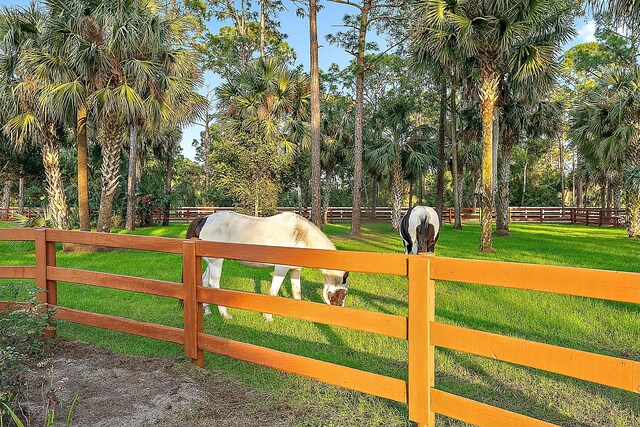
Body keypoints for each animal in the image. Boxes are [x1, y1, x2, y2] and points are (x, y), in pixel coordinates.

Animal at [185, 211, 350, 320]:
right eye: (343, 293)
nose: (340, 314)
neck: (301, 234)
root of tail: (205, 218)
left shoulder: (295, 269)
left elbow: (296, 291)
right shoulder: (281, 268)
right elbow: (273, 291)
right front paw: (268, 317)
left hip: (210, 262)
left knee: (205, 282)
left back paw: (207, 310)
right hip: (216, 262)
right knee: (214, 284)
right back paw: (225, 314)